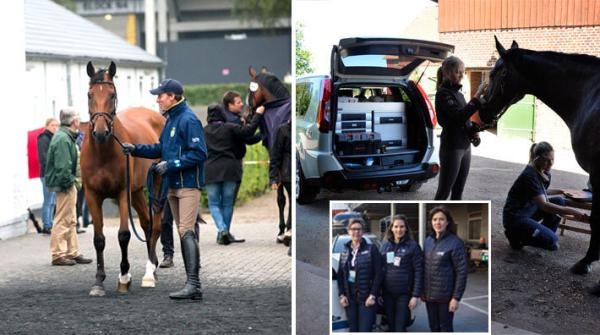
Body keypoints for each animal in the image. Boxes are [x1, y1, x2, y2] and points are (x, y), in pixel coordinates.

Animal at [82, 61, 165, 298]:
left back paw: (149, 273)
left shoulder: (121, 193)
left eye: (112, 94)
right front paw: (98, 282)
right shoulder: (92, 195)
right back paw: (153, 268)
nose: (101, 132)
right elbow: (99, 239)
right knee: (146, 224)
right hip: (137, 192)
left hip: (155, 184)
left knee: (156, 225)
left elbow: (124, 235)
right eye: (90, 94)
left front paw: (124, 277)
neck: (102, 152)